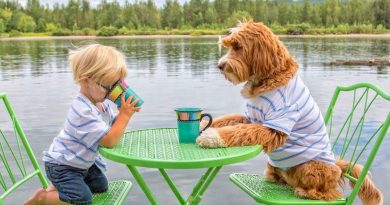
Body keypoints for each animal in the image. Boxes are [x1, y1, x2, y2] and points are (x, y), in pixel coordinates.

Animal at [197, 20, 382, 203]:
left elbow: (240, 131)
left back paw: (305, 192)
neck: (268, 79)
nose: (220, 65)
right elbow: (229, 120)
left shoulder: (274, 126)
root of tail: (337, 166)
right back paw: (275, 178)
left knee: (330, 193)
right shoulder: (250, 118)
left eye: (238, 47)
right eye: (229, 46)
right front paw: (203, 124)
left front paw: (211, 136)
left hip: (311, 167)